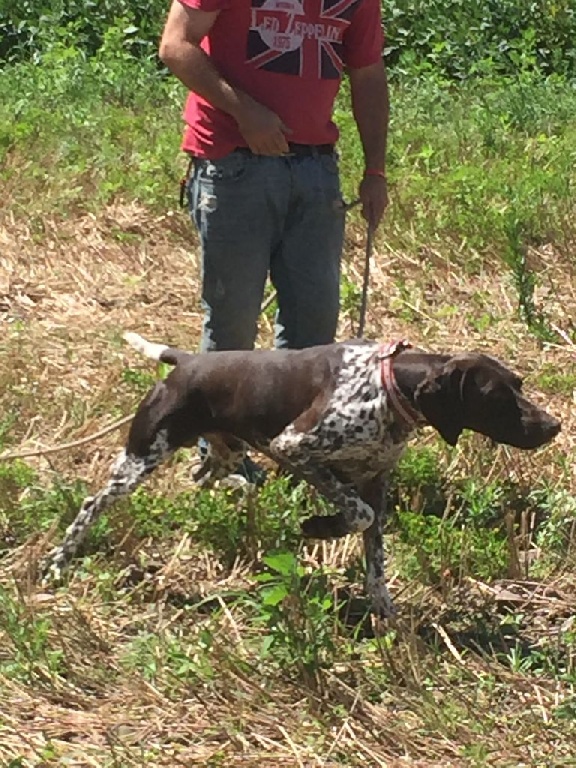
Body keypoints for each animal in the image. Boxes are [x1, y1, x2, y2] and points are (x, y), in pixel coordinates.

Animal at [42, 332, 560, 616]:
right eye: (497, 397)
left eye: (519, 385)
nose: (554, 426)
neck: (389, 385)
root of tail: (187, 362)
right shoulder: (294, 448)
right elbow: (357, 512)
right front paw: (318, 527)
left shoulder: (376, 480)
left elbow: (375, 555)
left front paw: (384, 612)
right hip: (140, 458)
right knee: (90, 506)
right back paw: (56, 563)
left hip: (223, 448)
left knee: (203, 475)